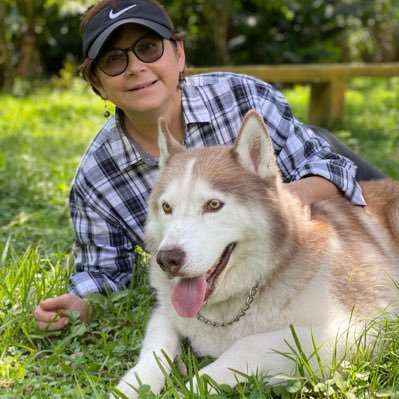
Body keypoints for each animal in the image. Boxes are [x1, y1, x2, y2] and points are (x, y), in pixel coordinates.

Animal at [112, 111, 399, 398]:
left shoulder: (359, 328)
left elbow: (244, 347)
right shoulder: (165, 311)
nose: (167, 259)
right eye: (167, 207)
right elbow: (155, 349)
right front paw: (130, 386)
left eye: (213, 205)